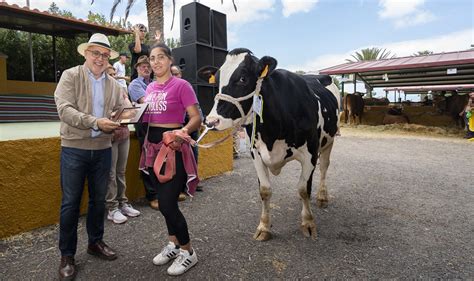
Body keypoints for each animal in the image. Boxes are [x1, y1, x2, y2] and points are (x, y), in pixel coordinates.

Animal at [199, 48, 340, 241]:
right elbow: (265, 190)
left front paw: (308, 223)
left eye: (243, 78)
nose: (211, 121)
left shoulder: (310, 154)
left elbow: (303, 189)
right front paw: (264, 227)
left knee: (324, 167)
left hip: (329, 141)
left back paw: (322, 197)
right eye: (217, 80)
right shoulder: (256, 153)